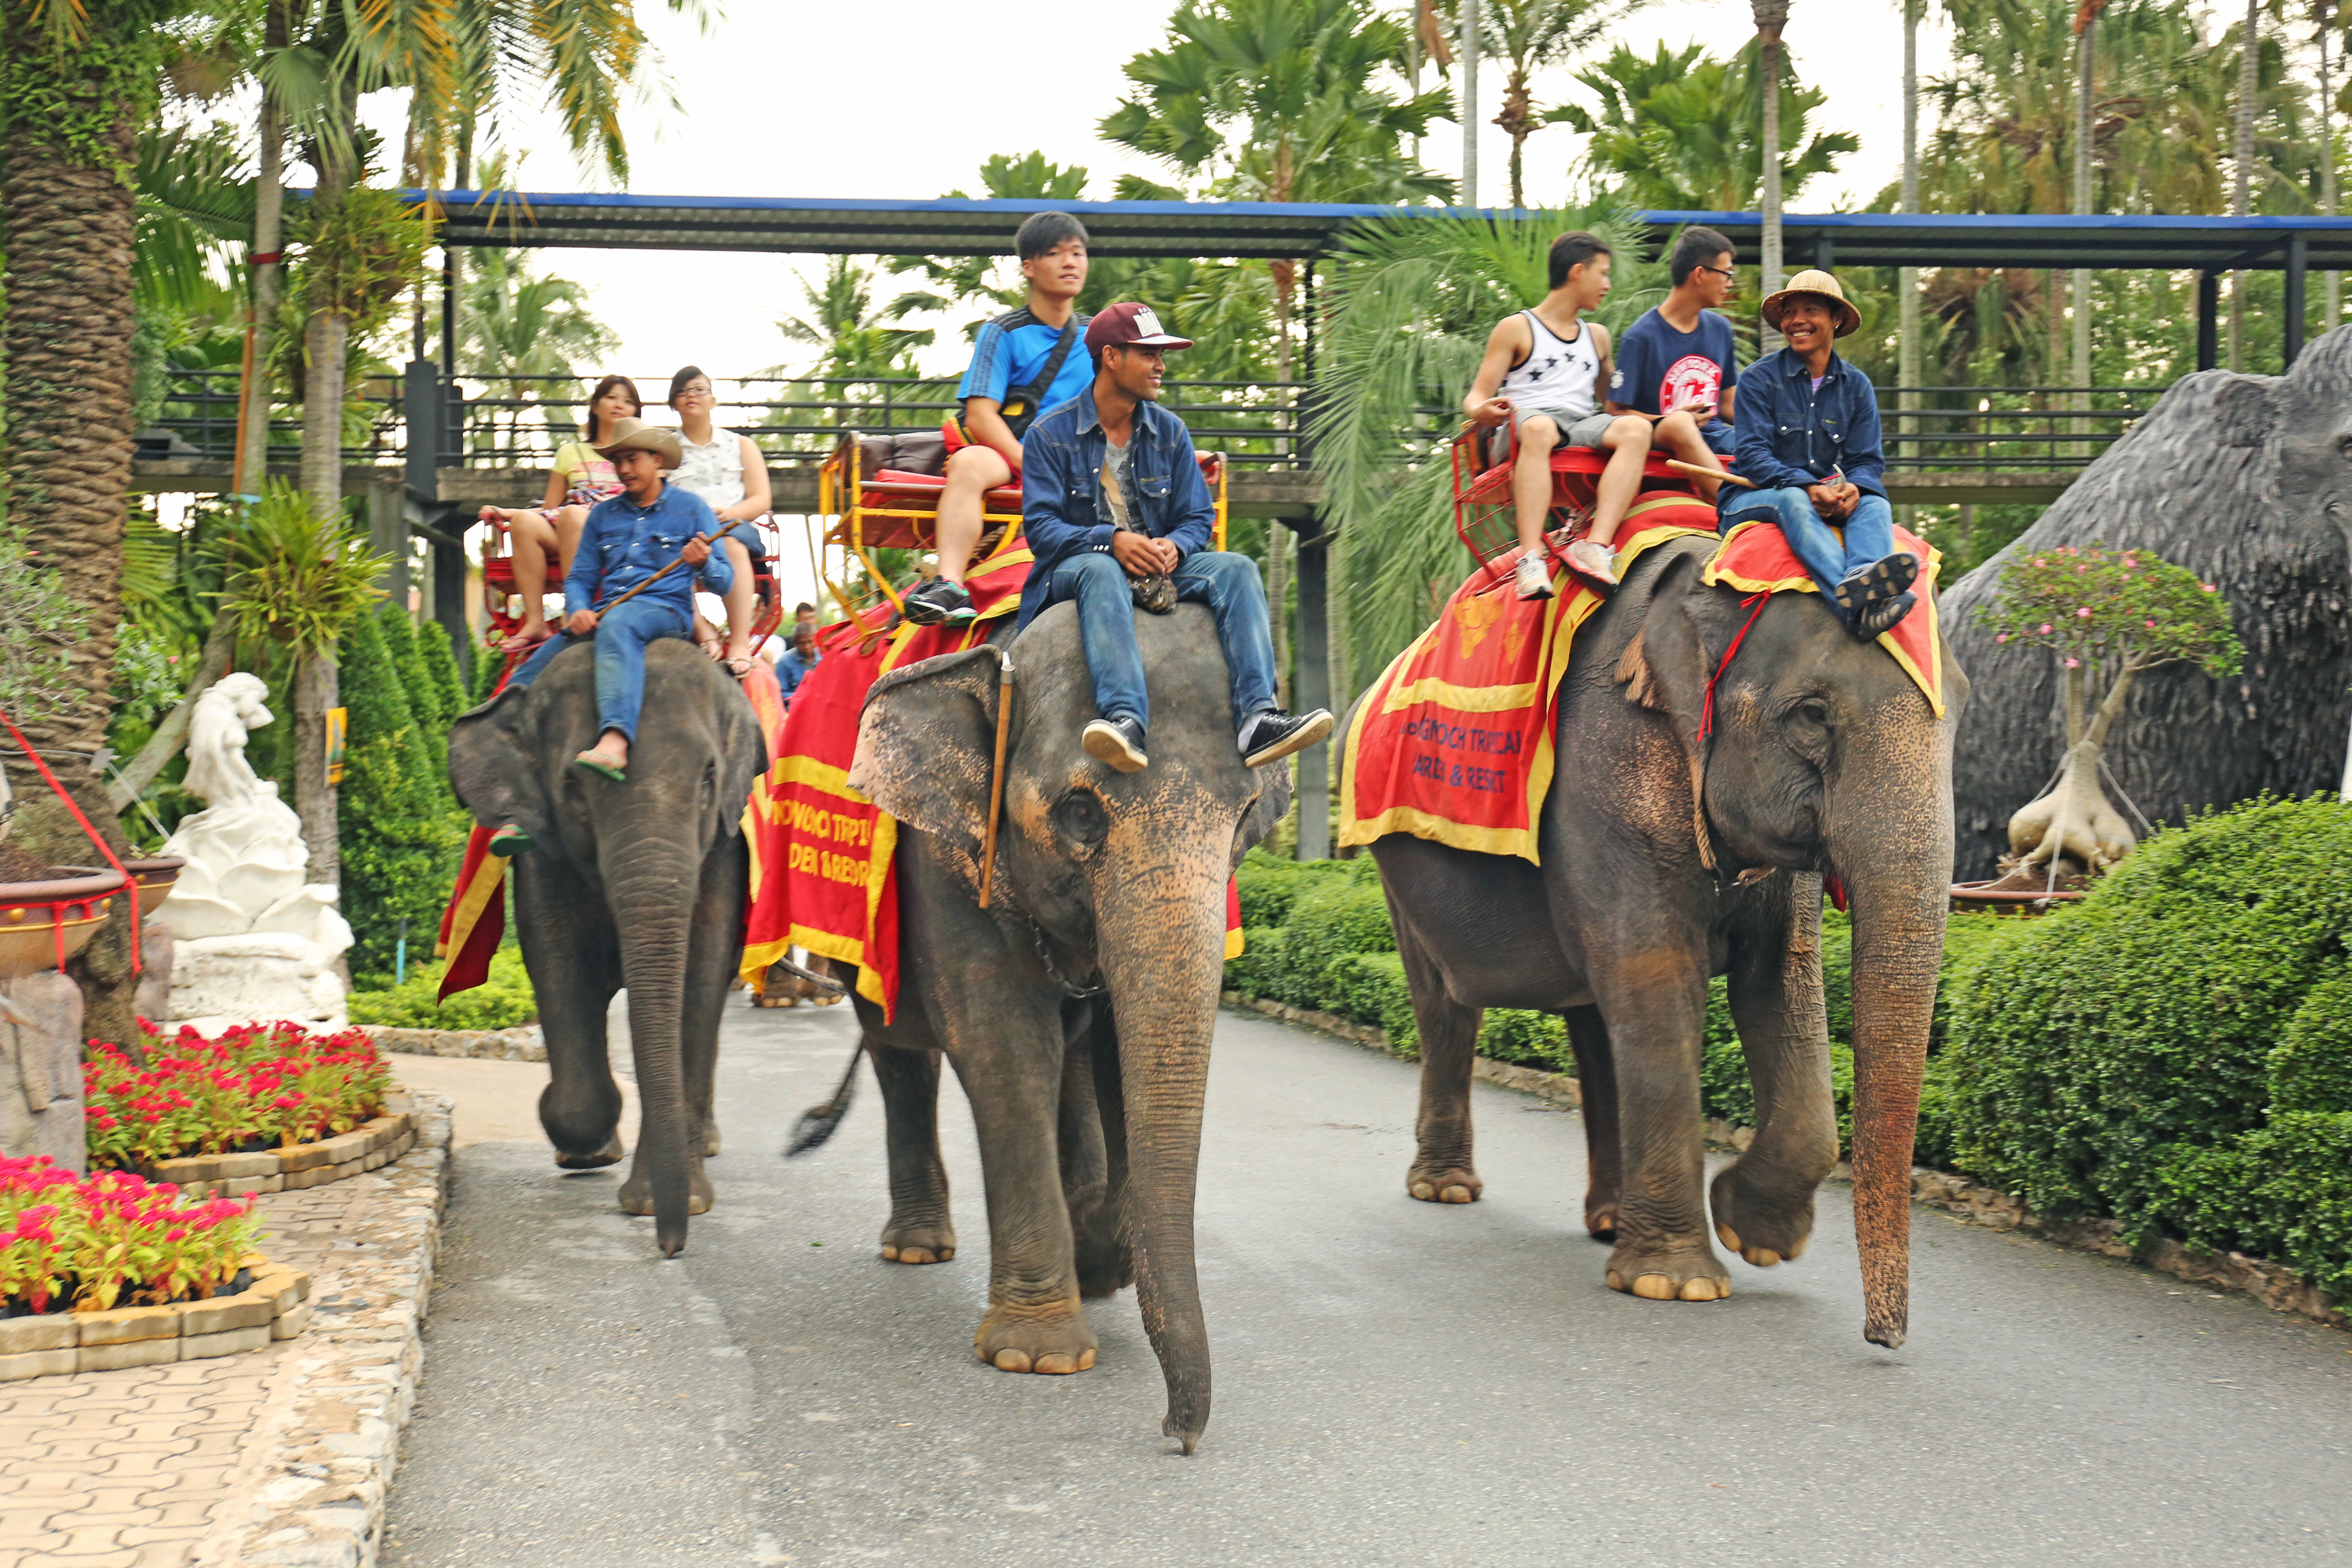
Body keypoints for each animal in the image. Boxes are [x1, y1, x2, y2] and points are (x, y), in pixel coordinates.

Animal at [447, 635, 762, 1250]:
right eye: (572, 786)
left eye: (709, 780)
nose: (670, 1248)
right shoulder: (540, 852)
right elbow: (557, 962)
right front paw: (584, 1144)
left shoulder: (724, 851)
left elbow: (701, 974)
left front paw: (672, 1201)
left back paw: (706, 1143)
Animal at [842, 595, 1289, 1457]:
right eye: (1081, 810)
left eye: (1247, 815)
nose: (1178, 1434)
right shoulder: (946, 855)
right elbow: (1006, 1044)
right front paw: (1038, 1355)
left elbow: (1115, 1048)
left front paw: (1101, 1255)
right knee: (901, 1054)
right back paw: (919, 1248)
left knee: (1073, 1065)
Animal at [1364, 541, 1966, 1354]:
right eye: (1812, 714)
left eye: (1962, 709)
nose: (1885, 1341)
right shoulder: (1605, 773)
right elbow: (1658, 973)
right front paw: (1677, 1285)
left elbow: (1783, 981)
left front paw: (1756, 1239)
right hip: (1399, 870)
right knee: (1447, 1009)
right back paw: (1447, 1190)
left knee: (1595, 1021)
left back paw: (1609, 1221)